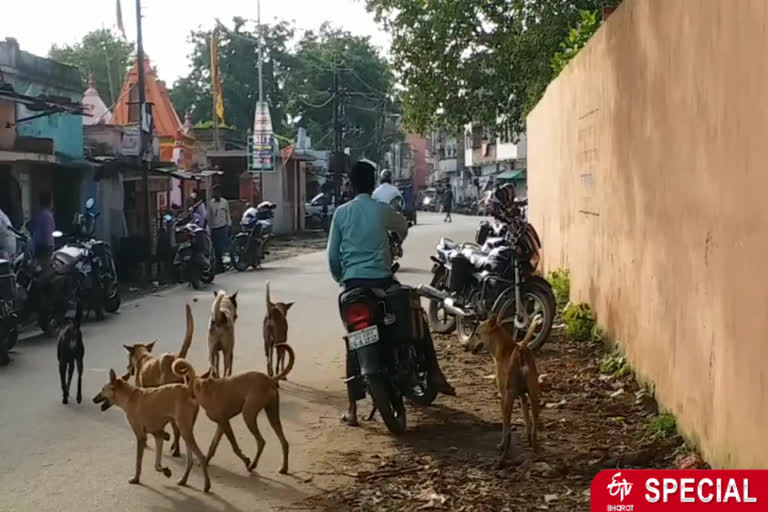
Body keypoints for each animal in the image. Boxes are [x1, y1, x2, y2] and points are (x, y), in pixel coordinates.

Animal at [123, 304, 194, 456]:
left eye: (128, 357)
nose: (127, 368)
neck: (143, 356)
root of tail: (177, 358)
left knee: (177, 429)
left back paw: (176, 450)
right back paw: (175, 446)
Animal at [171, 342, 294, 474]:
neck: (202, 388)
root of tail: (270, 379)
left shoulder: (225, 422)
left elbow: (234, 446)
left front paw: (246, 460)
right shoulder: (221, 425)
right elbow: (213, 445)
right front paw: (206, 461)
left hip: (248, 415)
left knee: (261, 441)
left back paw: (252, 465)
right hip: (272, 414)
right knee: (284, 442)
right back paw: (284, 468)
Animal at [464, 312, 544, 468]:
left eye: (477, 334)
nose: (466, 346)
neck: (504, 348)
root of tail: (521, 349)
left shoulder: (503, 396)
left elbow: (504, 427)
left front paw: (500, 445)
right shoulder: (523, 397)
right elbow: (527, 420)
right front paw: (528, 439)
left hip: (508, 399)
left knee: (508, 433)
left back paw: (502, 458)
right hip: (534, 396)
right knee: (535, 427)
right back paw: (536, 452)